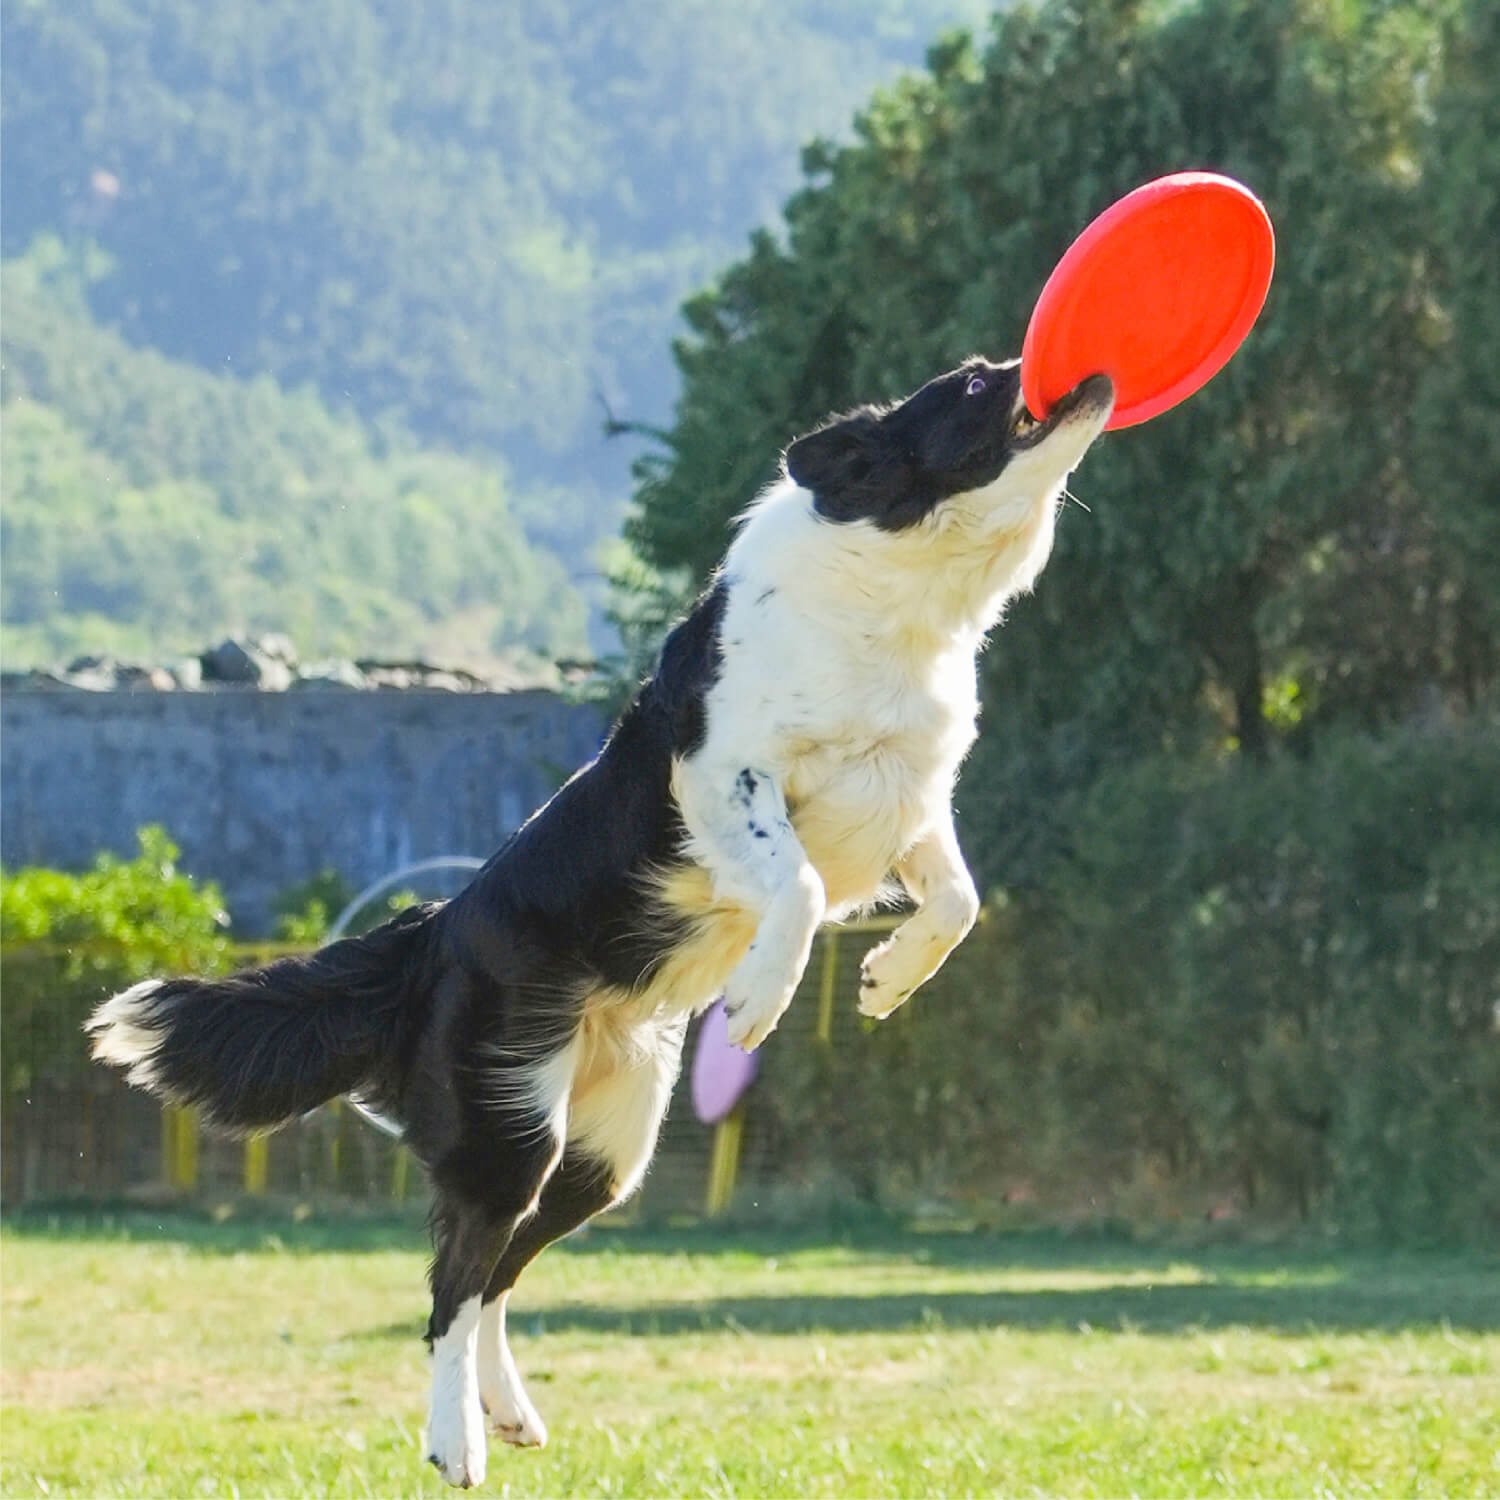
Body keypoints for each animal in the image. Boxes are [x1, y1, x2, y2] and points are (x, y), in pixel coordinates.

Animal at [85, 354, 1116, 1488]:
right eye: (973, 383)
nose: (1078, 369)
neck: (899, 594)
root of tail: (432, 933)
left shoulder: (908, 799)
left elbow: (957, 898)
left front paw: (889, 975)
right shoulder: (719, 777)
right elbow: (797, 885)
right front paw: (759, 998)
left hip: (603, 1154)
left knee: (499, 1271)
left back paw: (507, 1412)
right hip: (510, 1127)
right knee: (451, 1286)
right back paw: (455, 1442)